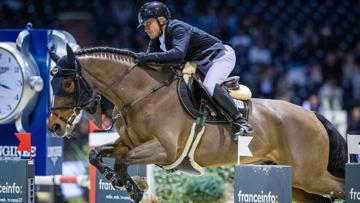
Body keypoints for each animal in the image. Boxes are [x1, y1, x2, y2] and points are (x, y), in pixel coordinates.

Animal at [48, 45, 348, 202]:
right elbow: (97, 154)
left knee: (341, 185)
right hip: (297, 182)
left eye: (67, 83)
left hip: (310, 175)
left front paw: (134, 188)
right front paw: (116, 180)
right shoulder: (128, 142)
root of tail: (314, 115)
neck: (142, 94)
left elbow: (123, 162)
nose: (54, 127)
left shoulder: (164, 150)